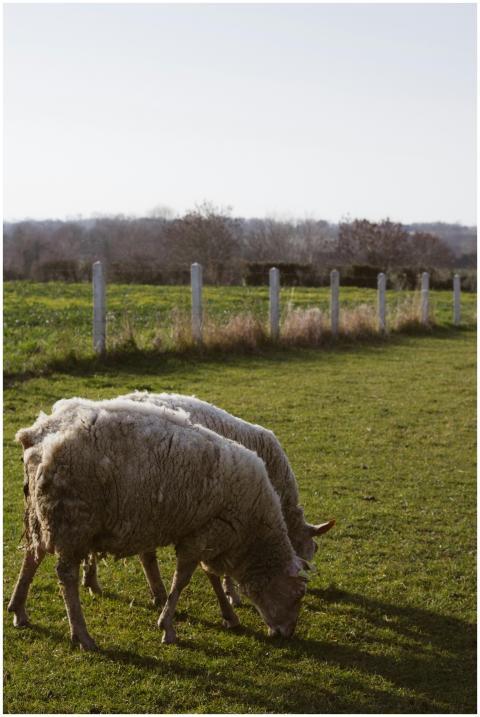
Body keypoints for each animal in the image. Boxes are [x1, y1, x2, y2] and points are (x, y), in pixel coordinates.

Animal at [9, 398, 308, 649]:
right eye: (297, 595)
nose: (287, 633)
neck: (253, 533)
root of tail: (36, 436)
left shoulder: (201, 533)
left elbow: (208, 574)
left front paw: (228, 615)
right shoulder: (207, 533)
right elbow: (183, 580)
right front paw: (168, 627)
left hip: (42, 513)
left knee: (33, 555)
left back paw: (18, 609)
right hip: (73, 520)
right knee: (65, 575)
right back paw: (81, 635)